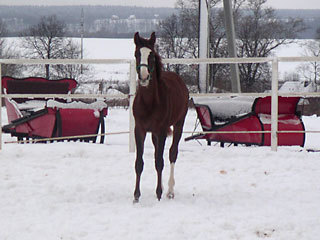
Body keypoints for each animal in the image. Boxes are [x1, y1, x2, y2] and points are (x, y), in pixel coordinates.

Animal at [133, 31, 190, 202]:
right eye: (137, 54)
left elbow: (160, 161)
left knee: (172, 154)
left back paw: (169, 190)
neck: (149, 102)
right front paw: (136, 196)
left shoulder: (163, 130)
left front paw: (159, 194)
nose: (144, 77)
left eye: (151, 55)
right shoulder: (140, 130)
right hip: (154, 134)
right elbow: (139, 163)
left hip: (178, 125)